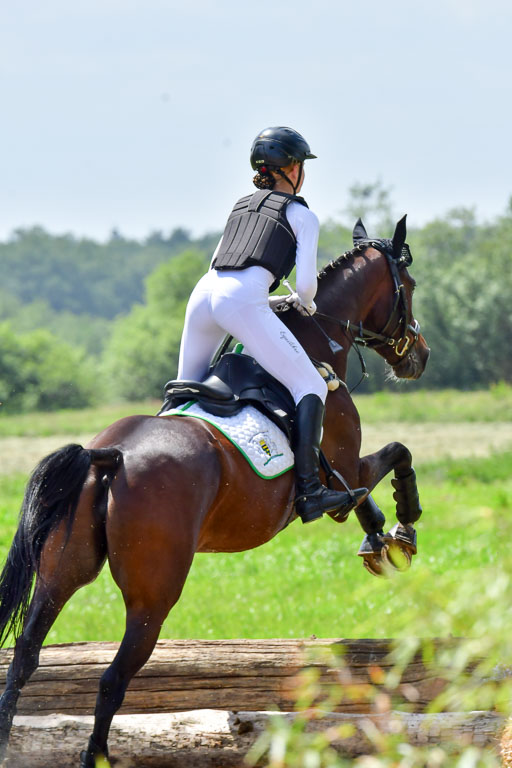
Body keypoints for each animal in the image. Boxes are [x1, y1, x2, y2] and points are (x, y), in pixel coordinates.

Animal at [0, 216, 429, 766]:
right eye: (409, 287)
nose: (420, 356)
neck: (317, 345)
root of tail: (110, 457)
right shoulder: (344, 463)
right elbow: (391, 460)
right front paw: (401, 530)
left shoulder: (344, 470)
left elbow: (365, 494)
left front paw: (382, 543)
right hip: (152, 597)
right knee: (113, 678)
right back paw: (95, 754)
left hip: (61, 573)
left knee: (25, 657)